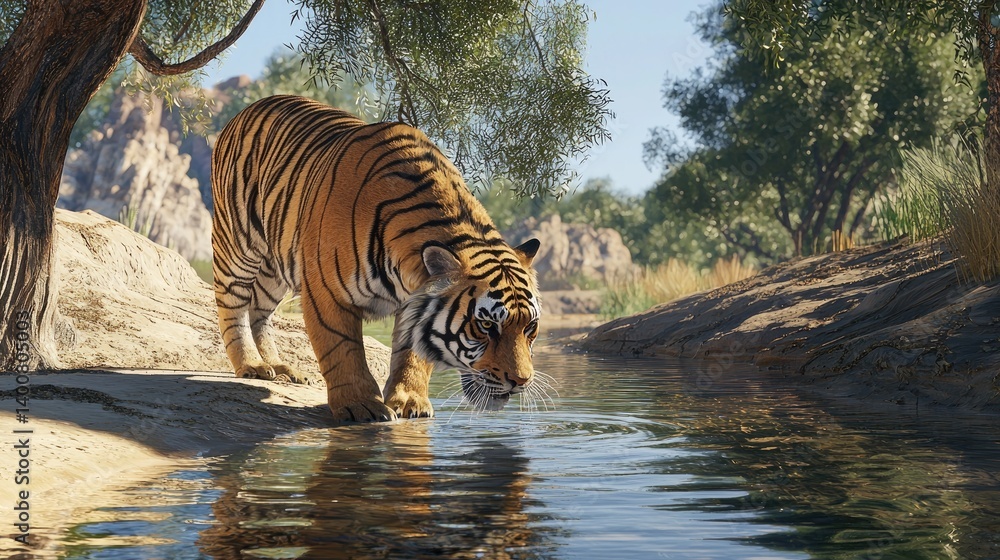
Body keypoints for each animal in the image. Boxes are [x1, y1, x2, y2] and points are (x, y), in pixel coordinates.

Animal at [211, 95, 542, 423]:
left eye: (530, 327)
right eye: (485, 326)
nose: (521, 381)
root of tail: (251, 107)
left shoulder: (416, 305)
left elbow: (413, 355)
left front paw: (409, 401)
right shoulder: (326, 292)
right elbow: (342, 350)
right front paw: (360, 405)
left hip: (274, 268)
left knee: (260, 310)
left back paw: (280, 367)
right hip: (237, 245)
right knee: (233, 305)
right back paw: (252, 365)